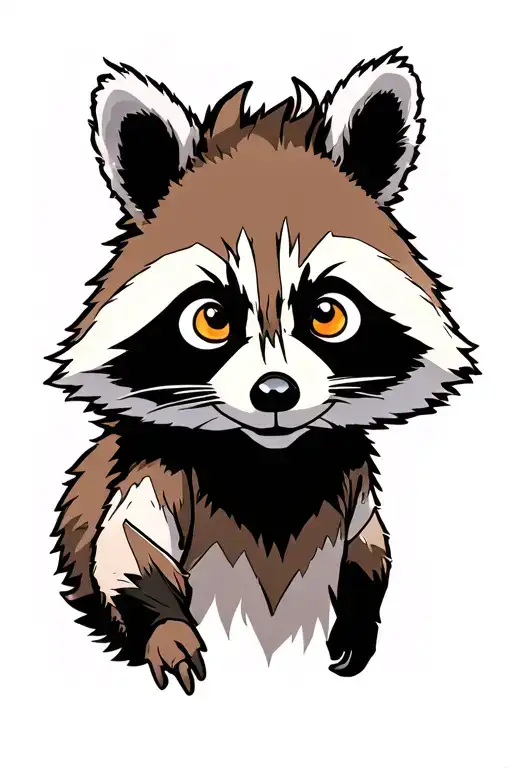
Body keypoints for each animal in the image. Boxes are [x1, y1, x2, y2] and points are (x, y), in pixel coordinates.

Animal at [47, 49, 477, 694]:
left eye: (327, 314)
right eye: (212, 319)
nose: (275, 391)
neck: (270, 459)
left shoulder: (352, 478)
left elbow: (368, 548)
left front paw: (360, 615)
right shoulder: (159, 470)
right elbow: (126, 550)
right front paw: (166, 629)